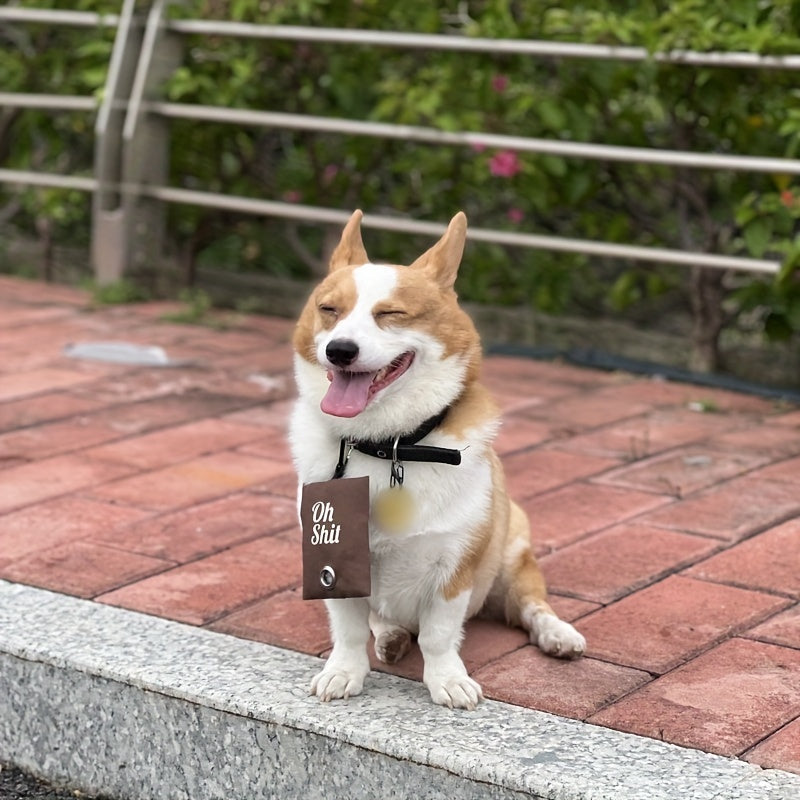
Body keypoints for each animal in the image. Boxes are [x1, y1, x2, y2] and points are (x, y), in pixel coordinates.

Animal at [290, 209, 584, 708]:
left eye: (390, 314)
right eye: (329, 310)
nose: (339, 350)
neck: (390, 444)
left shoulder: (455, 569)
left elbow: (439, 635)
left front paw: (447, 679)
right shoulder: (335, 566)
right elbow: (349, 629)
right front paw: (344, 672)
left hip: (513, 558)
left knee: (530, 606)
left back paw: (557, 633)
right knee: (380, 621)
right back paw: (391, 636)